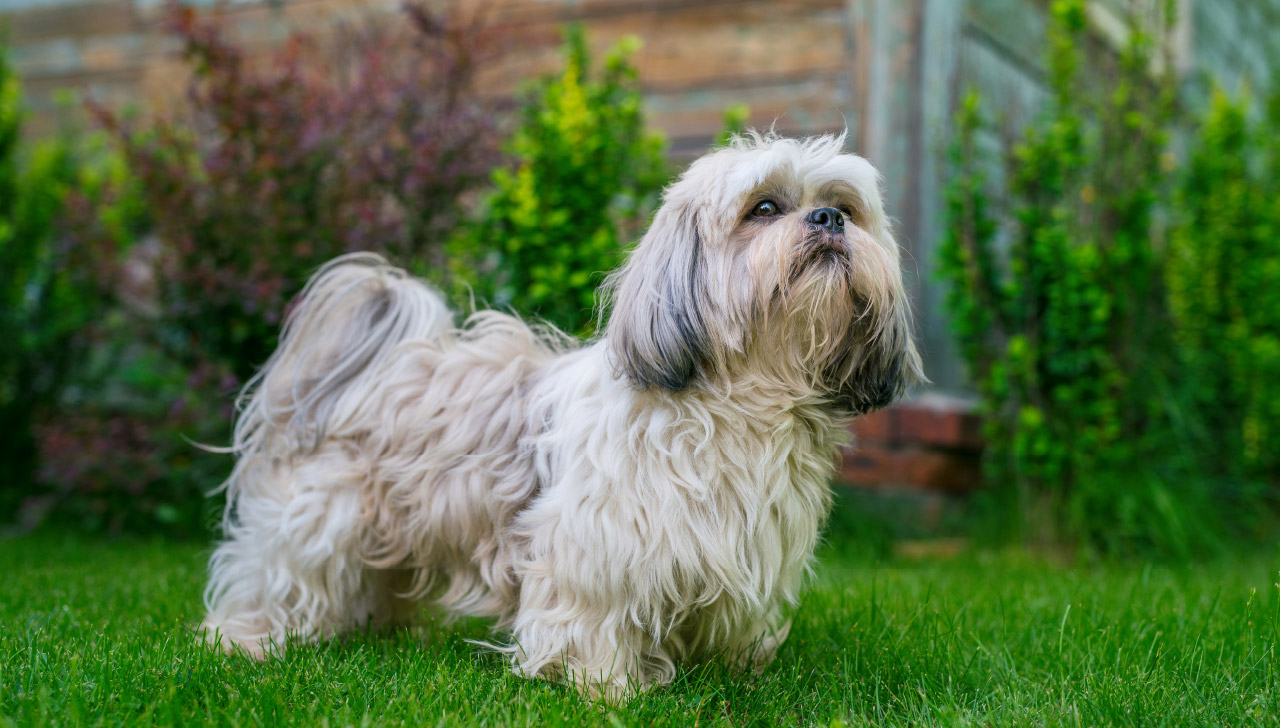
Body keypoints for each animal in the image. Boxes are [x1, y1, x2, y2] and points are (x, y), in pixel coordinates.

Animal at [202, 130, 921, 696]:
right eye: (764, 207)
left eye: (847, 208)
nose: (827, 219)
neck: (742, 400)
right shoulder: (597, 545)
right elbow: (593, 618)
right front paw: (608, 687)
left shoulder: (745, 542)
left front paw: (734, 672)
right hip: (320, 519)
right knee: (274, 577)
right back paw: (250, 641)